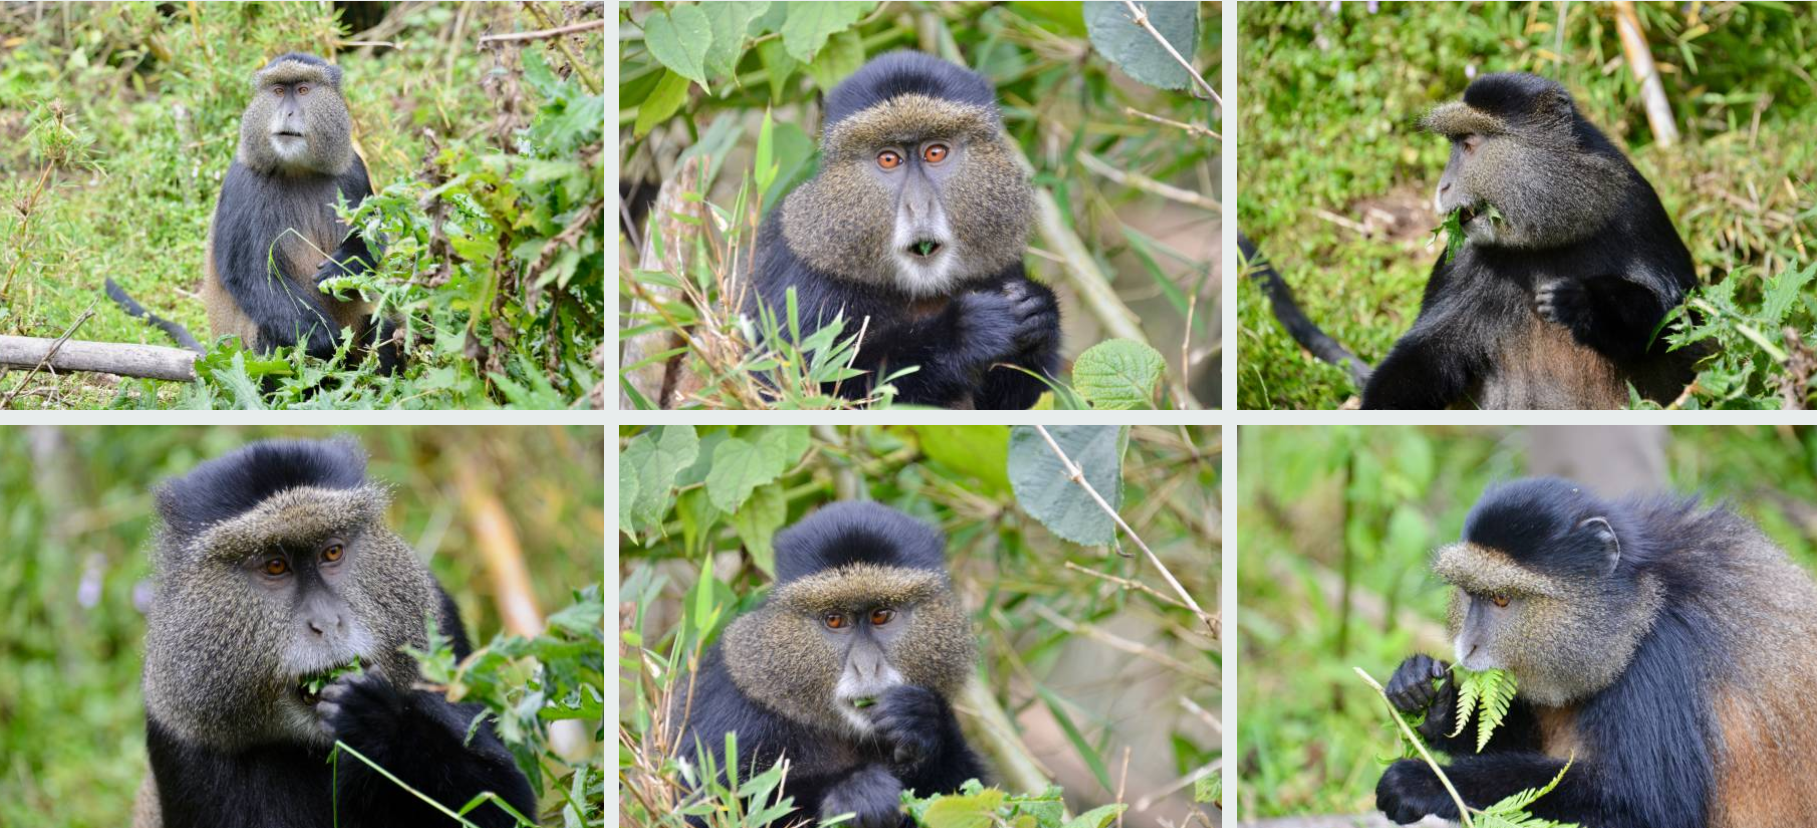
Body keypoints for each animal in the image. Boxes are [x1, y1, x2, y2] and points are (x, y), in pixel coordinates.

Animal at [135, 438, 534, 827]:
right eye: (275, 566)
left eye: (332, 552)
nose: (326, 623)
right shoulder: (182, 737)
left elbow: (506, 800)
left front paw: (378, 724)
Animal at [671, 502, 985, 828]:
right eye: (835, 620)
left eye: (881, 615)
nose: (866, 668)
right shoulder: (729, 712)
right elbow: (709, 808)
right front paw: (854, 793)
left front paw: (919, 719)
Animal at [747, 51, 1060, 410]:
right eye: (888, 159)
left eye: (935, 152)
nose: (918, 207)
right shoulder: (807, 289)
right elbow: (799, 388)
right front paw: (963, 333)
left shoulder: (1003, 267)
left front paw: (1039, 311)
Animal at [1374, 476, 1817, 828]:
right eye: (1470, 594)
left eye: (1501, 599)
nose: (1468, 646)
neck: (1641, 599)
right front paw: (1425, 695)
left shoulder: (1663, 659)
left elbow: (1651, 811)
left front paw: (1423, 783)